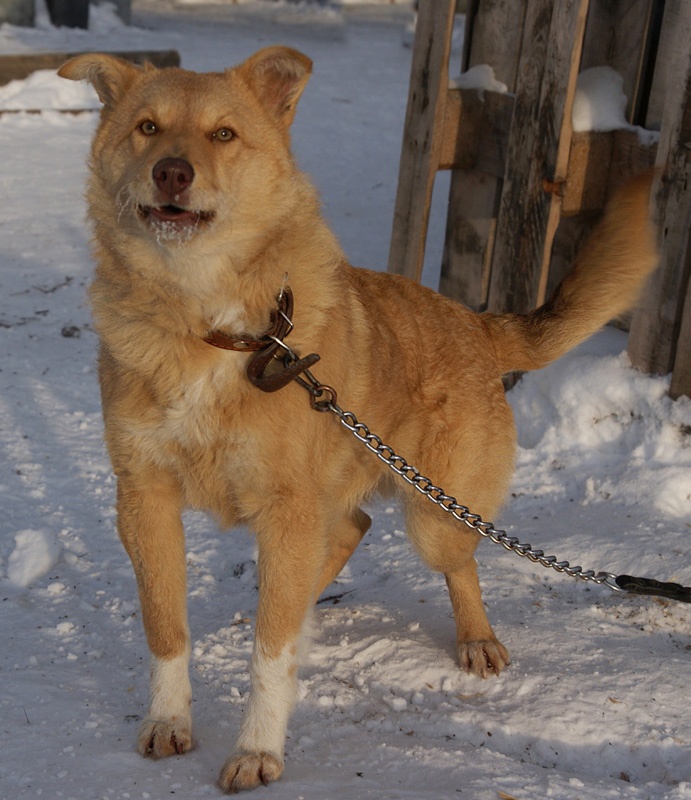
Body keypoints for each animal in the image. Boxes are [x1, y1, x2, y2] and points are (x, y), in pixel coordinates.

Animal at [58, 47, 658, 792]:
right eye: (146, 127)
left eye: (223, 134)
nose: (173, 171)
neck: (207, 326)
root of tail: (476, 323)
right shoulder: (146, 500)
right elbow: (167, 627)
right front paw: (168, 720)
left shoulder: (286, 510)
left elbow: (270, 653)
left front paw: (258, 749)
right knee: (345, 533)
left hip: (433, 517)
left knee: (453, 560)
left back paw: (475, 637)